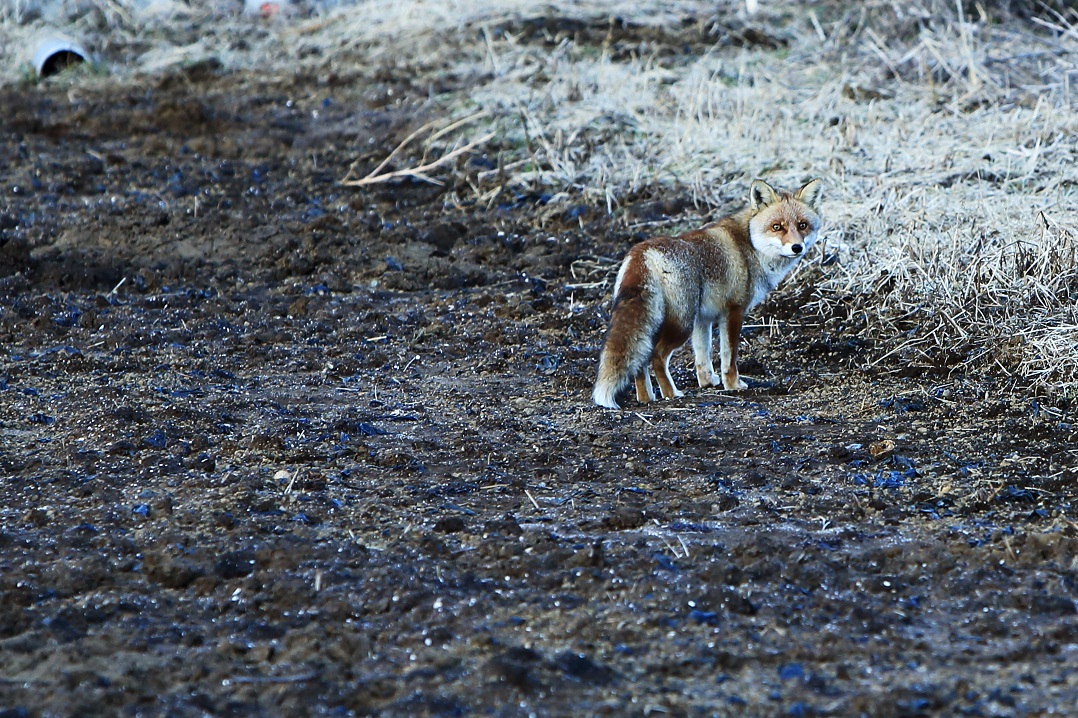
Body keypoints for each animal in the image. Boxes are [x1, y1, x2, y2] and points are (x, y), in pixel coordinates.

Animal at [595, 177, 819, 407]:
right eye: (777, 227)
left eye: (802, 225)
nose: (797, 247)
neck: (750, 245)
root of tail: (642, 252)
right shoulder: (733, 311)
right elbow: (729, 357)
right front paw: (733, 385)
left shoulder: (703, 319)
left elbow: (703, 356)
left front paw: (708, 382)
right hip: (681, 323)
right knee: (657, 356)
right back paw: (670, 393)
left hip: (663, 322)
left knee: (641, 360)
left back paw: (646, 397)